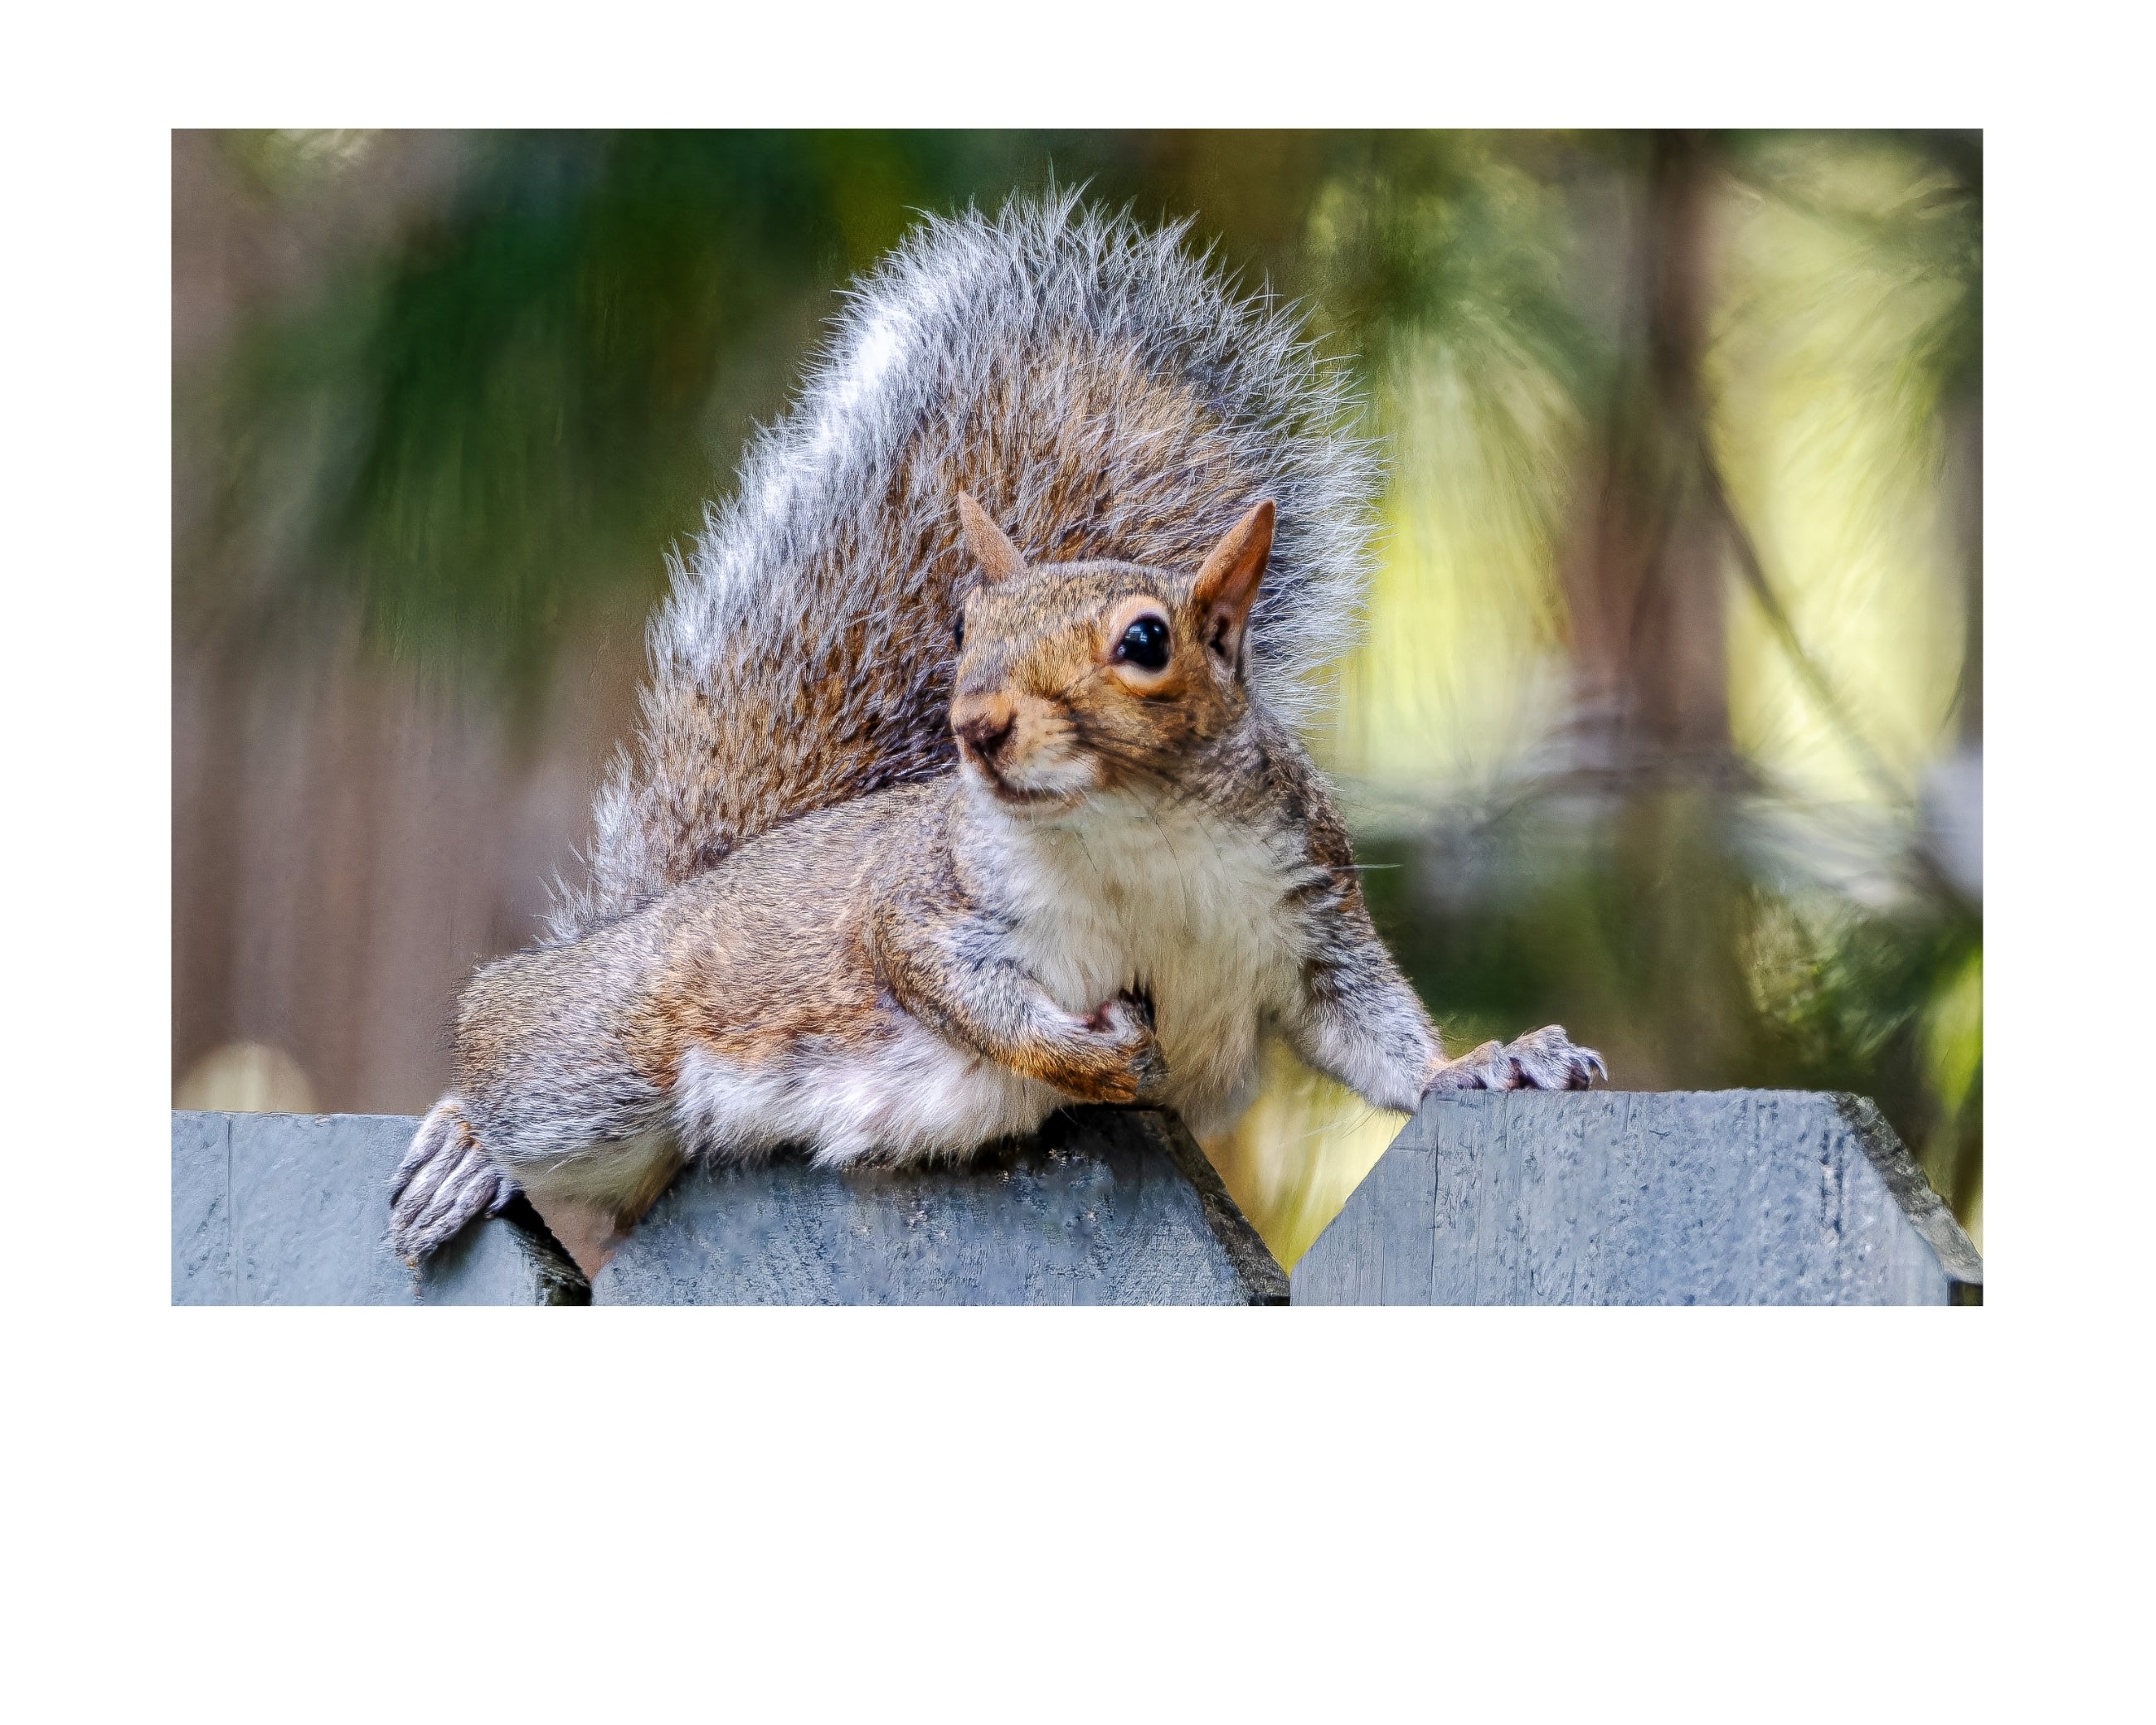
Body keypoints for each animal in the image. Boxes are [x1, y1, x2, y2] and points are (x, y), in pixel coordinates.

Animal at [387, 193, 1604, 1269]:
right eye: (968, 625)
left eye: (1147, 641)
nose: (971, 722)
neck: (1139, 833)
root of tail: (653, 912)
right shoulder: (923, 906)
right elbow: (944, 981)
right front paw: (1082, 1058)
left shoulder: (1310, 914)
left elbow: (1371, 1033)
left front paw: (1485, 1065)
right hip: (601, 1055)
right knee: (504, 1050)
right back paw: (464, 1147)